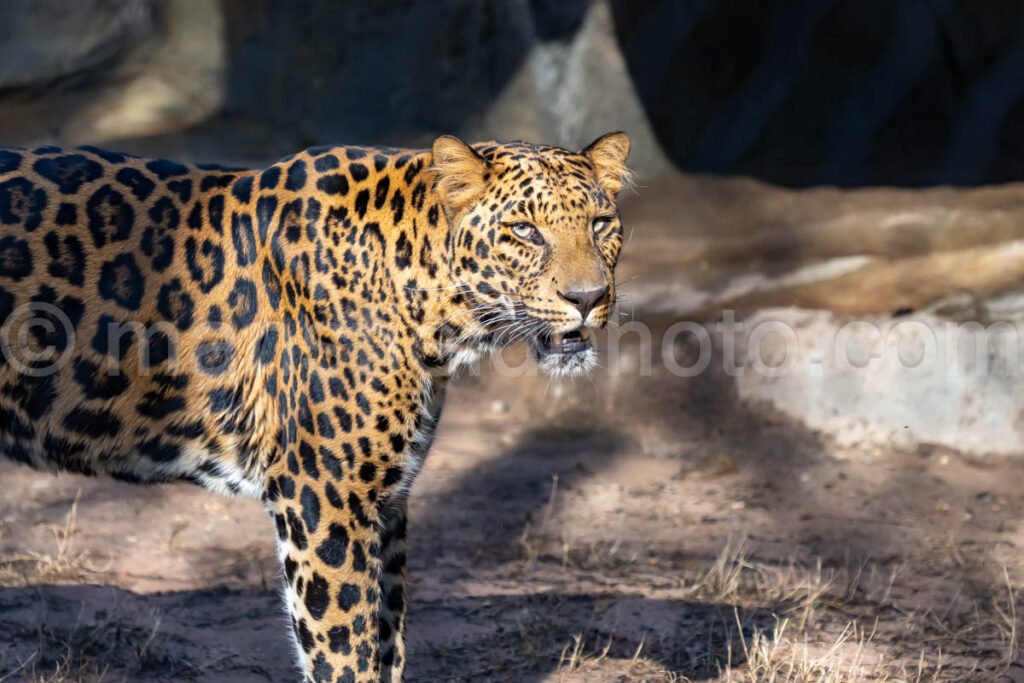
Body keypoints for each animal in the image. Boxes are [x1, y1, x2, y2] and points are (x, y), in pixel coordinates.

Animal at [0, 131, 630, 679]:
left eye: (601, 224)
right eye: (524, 231)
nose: (588, 298)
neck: (433, 311)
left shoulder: (386, 502)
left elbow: (387, 643)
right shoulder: (324, 495)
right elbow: (344, 652)